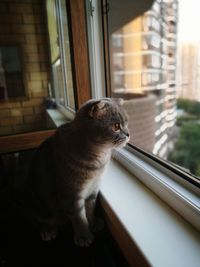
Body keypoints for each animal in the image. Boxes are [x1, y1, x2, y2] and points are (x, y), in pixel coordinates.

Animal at [19, 98, 130, 247]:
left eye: (126, 124)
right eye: (116, 126)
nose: (128, 134)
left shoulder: (93, 190)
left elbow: (90, 210)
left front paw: (93, 224)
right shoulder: (71, 194)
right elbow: (79, 217)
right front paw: (83, 235)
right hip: (35, 204)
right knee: (37, 221)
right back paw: (48, 230)